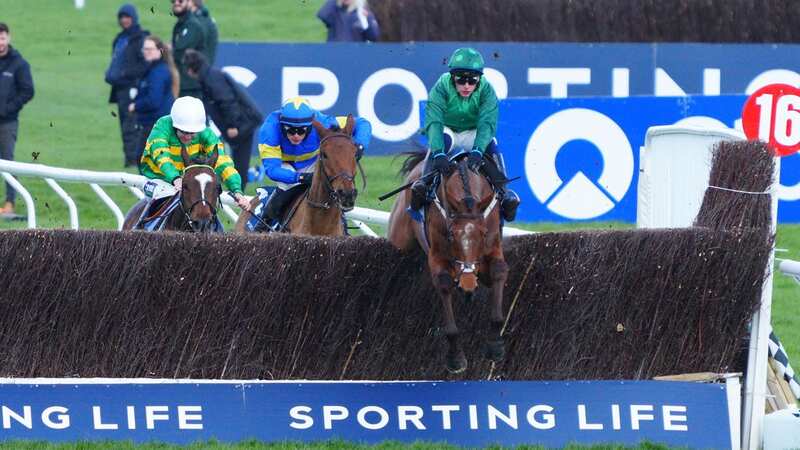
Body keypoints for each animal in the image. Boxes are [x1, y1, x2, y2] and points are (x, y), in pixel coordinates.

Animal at [388, 151, 506, 372]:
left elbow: (498, 271)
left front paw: (495, 345)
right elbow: (443, 284)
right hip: (399, 235)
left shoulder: (492, 248)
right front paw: (455, 358)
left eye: (483, 233)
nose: (468, 282)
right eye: (451, 235)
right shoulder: (437, 256)